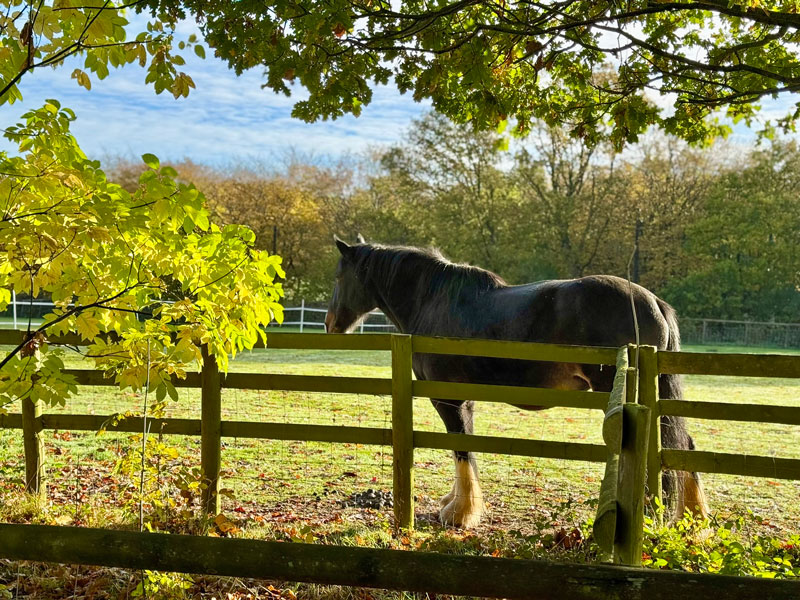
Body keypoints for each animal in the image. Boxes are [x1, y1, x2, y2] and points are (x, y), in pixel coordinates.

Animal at [325, 235, 708, 528]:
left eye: (339, 278)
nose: (330, 324)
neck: (433, 301)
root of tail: (653, 301)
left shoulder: (448, 399)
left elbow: (460, 448)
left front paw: (460, 514)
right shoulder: (465, 399)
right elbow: (466, 448)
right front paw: (457, 504)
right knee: (682, 446)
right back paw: (693, 519)